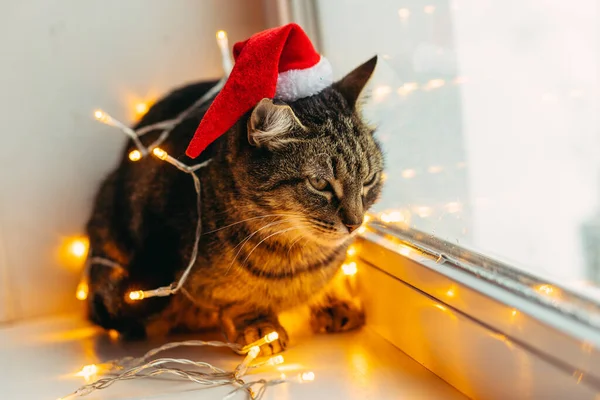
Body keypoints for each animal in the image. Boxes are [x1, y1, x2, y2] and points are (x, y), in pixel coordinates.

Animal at [85, 55, 384, 354]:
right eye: (319, 183)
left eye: (369, 179)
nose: (355, 224)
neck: (298, 256)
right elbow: (235, 299)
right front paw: (259, 325)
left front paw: (331, 300)